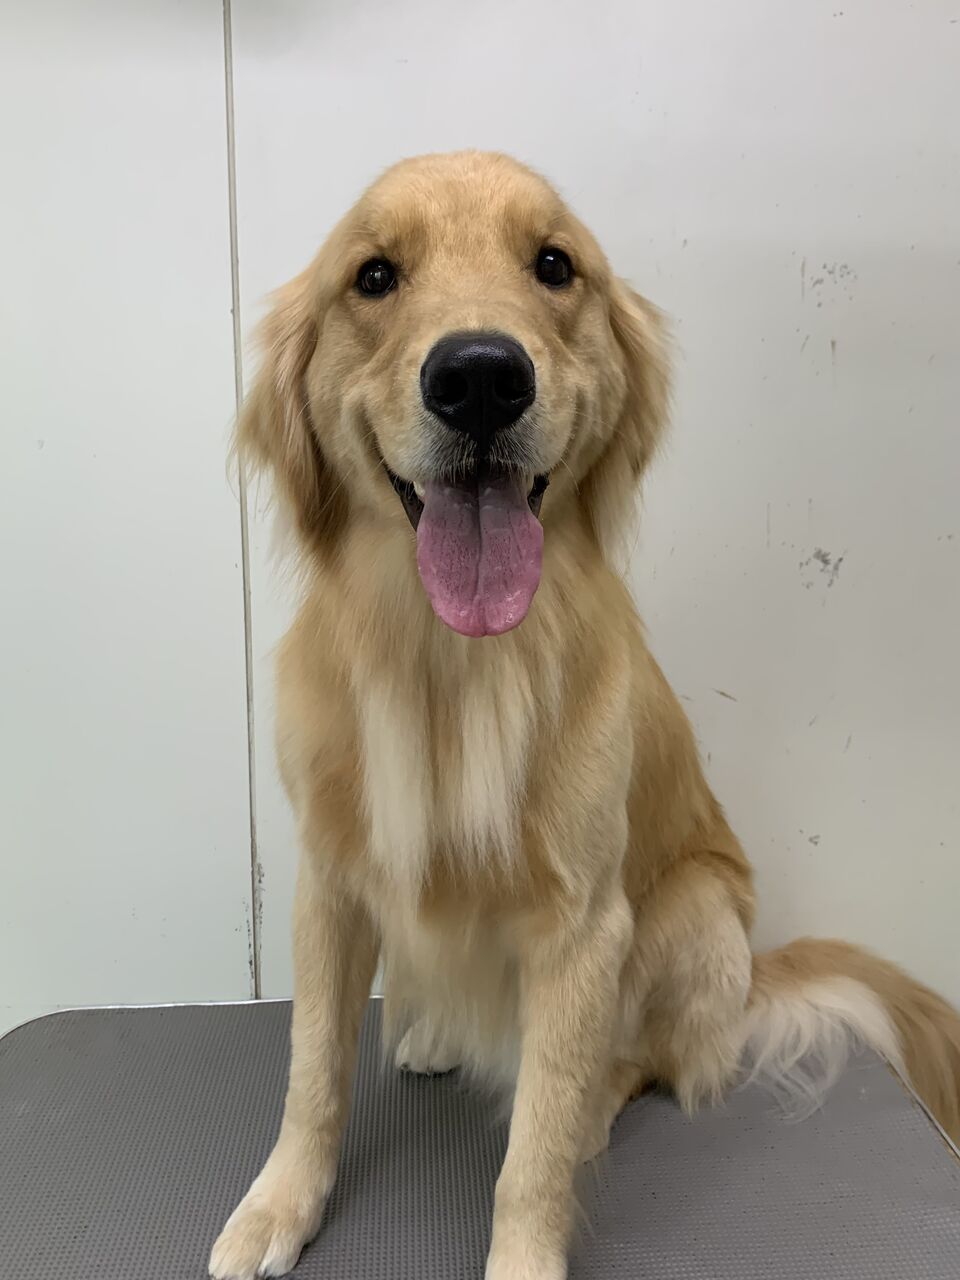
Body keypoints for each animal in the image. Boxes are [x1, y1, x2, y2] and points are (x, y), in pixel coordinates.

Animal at [209, 151, 960, 1280]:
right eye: (373, 276)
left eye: (554, 265)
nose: (481, 376)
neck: (451, 663)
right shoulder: (329, 881)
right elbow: (312, 1073)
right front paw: (276, 1206)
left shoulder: (583, 925)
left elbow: (536, 1147)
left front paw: (527, 1245)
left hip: (694, 912)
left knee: (649, 1062)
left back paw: (601, 1095)